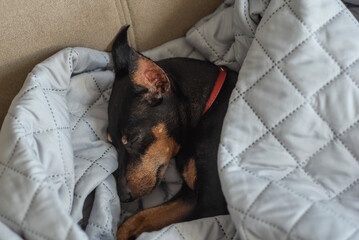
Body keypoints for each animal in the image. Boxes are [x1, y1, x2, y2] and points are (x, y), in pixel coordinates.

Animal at [107, 25, 239, 239]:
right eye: (112, 144)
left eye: (133, 138)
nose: (123, 196)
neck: (208, 105)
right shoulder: (190, 196)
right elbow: (137, 219)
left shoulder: (210, 203)